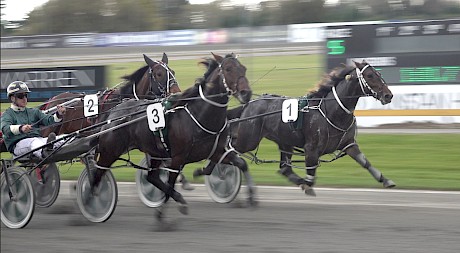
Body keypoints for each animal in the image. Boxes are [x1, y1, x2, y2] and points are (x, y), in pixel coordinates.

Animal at [91, 52, 253, 215]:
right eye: (228, 69)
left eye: (244, 68)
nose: (246, 93)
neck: (200, 114)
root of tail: (114, 111)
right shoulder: (177, 158)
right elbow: (170, 183)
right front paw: (163, 210)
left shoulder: (216, 152)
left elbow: (241, 164)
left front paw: (251, 197)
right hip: (110, 151)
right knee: (96, 176)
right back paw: (92, 201)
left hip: (154, 152)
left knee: (152, 177)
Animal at [198, 60, 396, 196]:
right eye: (370, 76)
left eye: (378, 73)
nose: (388, 95)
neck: (332, 110)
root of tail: (250, 104)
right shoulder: (311, 149)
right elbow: (311, 175)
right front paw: (307, 184)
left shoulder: (348, 145)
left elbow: (365, 162)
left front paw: (386, 180)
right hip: (249, 139)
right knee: (227, 150)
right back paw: (209, 171)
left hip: (284, 142)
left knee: (284, 168)